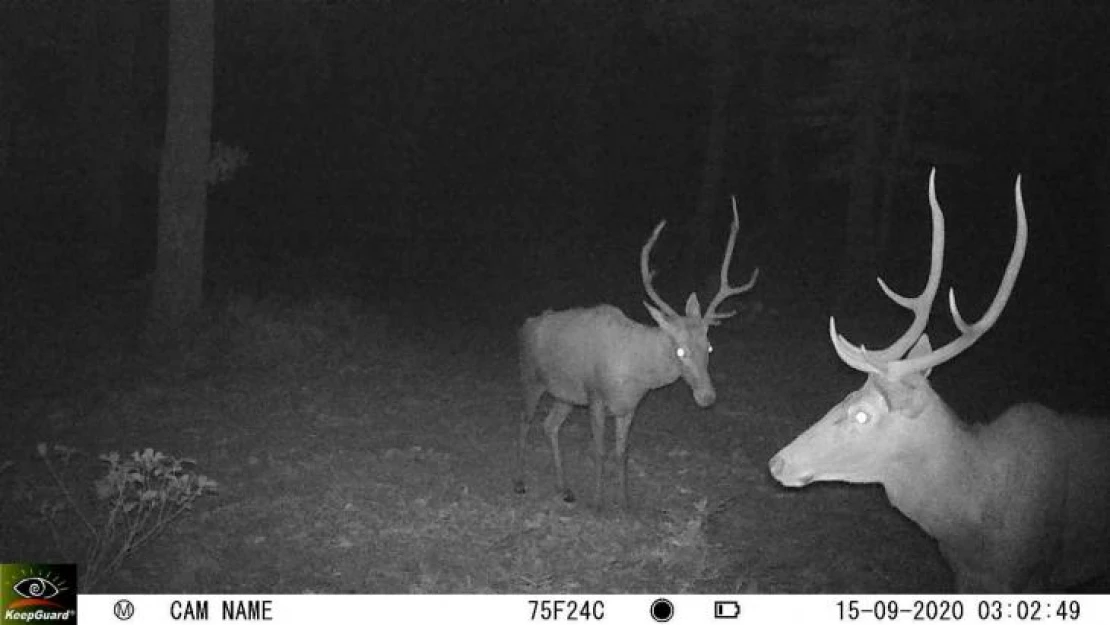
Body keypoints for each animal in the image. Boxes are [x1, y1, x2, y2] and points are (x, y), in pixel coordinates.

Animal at [515, 200, 759, 508]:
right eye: (680, 350)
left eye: (709, 347)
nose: (707, 397)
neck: (636, 373)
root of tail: (525, 325)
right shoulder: (596, 396)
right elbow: (599, 450)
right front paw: (597, 502)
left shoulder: (629, 406)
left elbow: (623, 452)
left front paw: (625, 501)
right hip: (530, 377)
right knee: (524, 423)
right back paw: (520, 482)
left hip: (566, 394)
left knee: (549, 426)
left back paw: (565, 488)